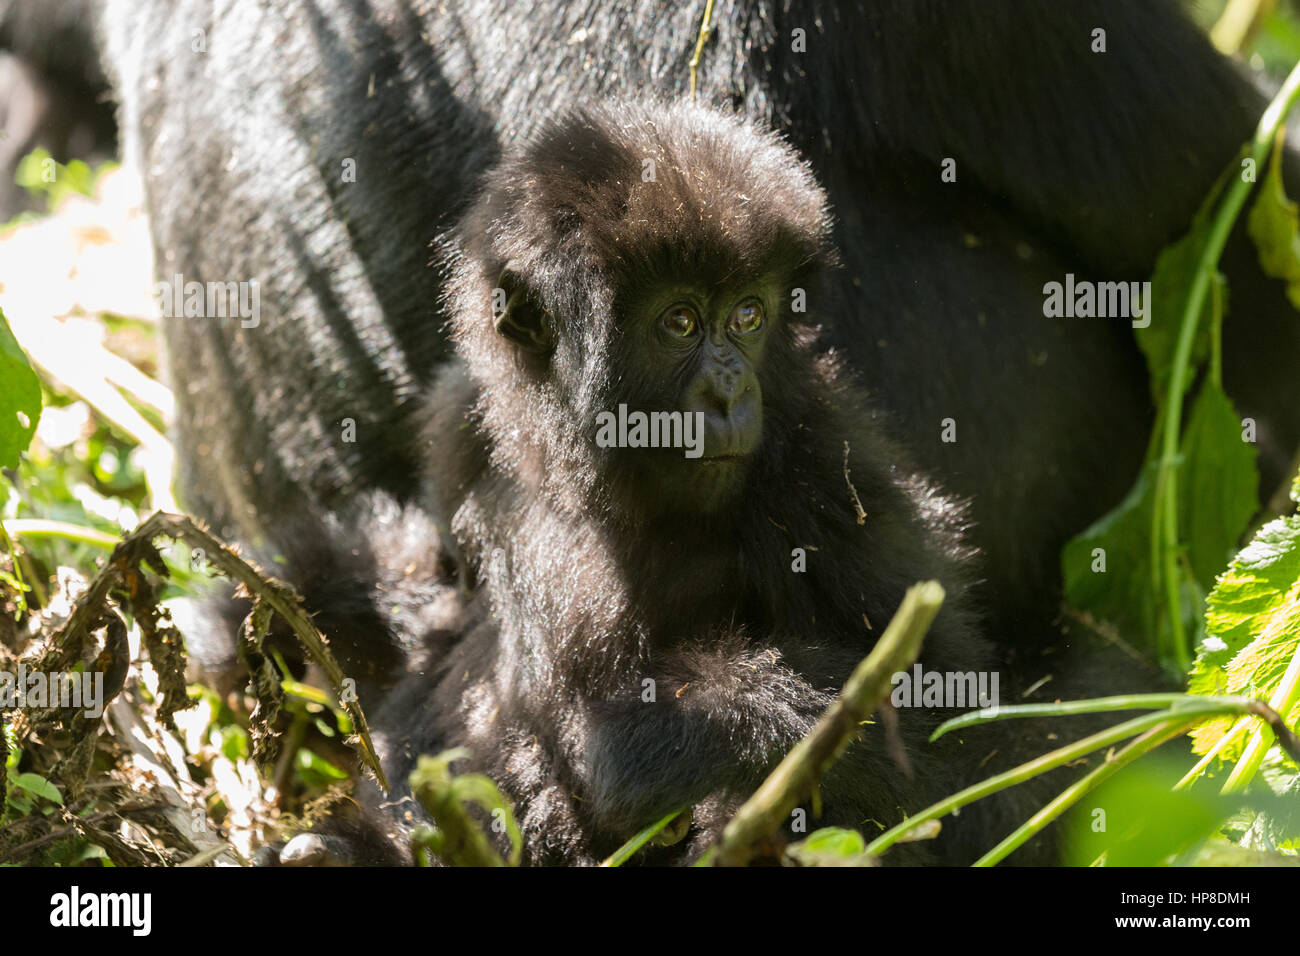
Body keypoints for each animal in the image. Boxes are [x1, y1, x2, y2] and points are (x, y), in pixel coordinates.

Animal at [322, 98, 1013, 868]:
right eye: (680, 321)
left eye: (747, 315)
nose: (730, 393)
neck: (577, 472)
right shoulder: (460, 417)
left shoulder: (825, 465)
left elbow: (952, 739)